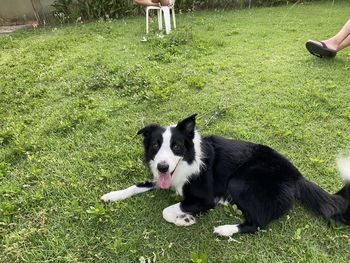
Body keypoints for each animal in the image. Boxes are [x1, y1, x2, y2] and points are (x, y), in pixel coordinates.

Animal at [102, 115, 350, 237]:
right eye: (155, 145)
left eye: (176, 147)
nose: (163, 167)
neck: (188, 160)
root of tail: (297, 175)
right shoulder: (163, 178)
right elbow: (137, 185)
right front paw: (112, 195)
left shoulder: (203, 198)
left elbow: (167, 210)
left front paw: (184, 219)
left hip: (239, 181)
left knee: (259, 223)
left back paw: (225, 230)